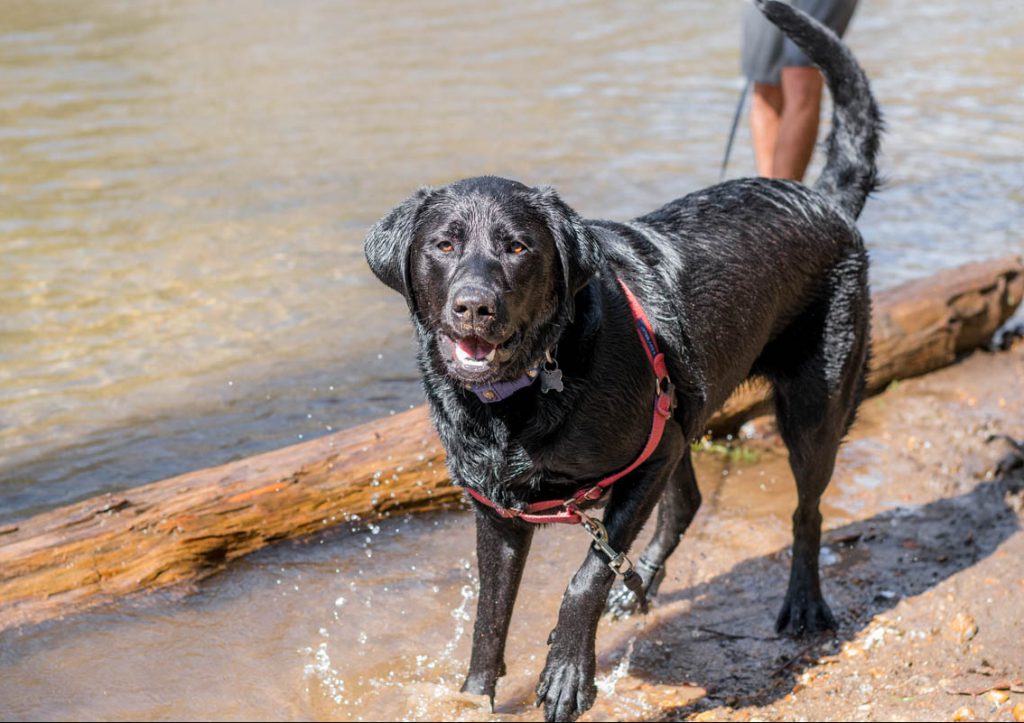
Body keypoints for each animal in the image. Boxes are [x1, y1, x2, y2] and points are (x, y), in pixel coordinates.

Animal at [362, 2, 880, 716]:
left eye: (517, 247)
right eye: (443, 244)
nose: (474, 306)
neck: (525, 394)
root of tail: (824, 198)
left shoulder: (646, 460)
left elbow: (585, 575)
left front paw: (566, 674)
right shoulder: (500, 508)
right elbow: (490, 617)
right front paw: (472, 696)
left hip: (812, 404)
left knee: (807, 509)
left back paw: (802, 603)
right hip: (687, 410)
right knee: (689, 502)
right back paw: (641, 587)